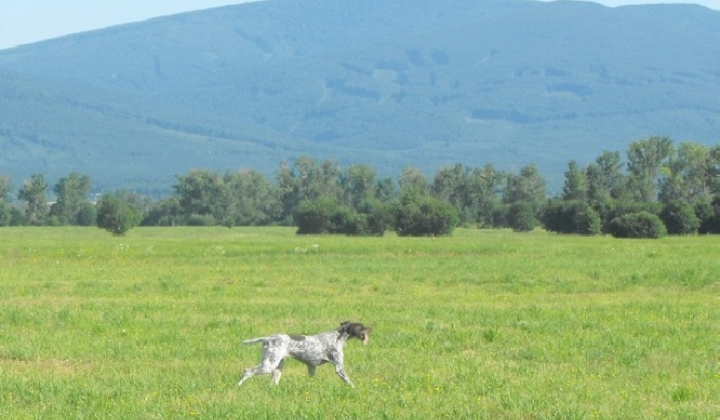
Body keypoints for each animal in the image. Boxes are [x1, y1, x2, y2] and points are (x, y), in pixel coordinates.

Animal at [238, 322, 372, 388]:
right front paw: (355, 389)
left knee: (273, 383)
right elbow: (349, 382)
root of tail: (268, 338)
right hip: (269, 365)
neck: (337, 337)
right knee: (247, 371)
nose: (371, 328)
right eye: (361, 326)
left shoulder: (311, 367)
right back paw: (238, 386)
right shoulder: (339, 367)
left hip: (278, 367)